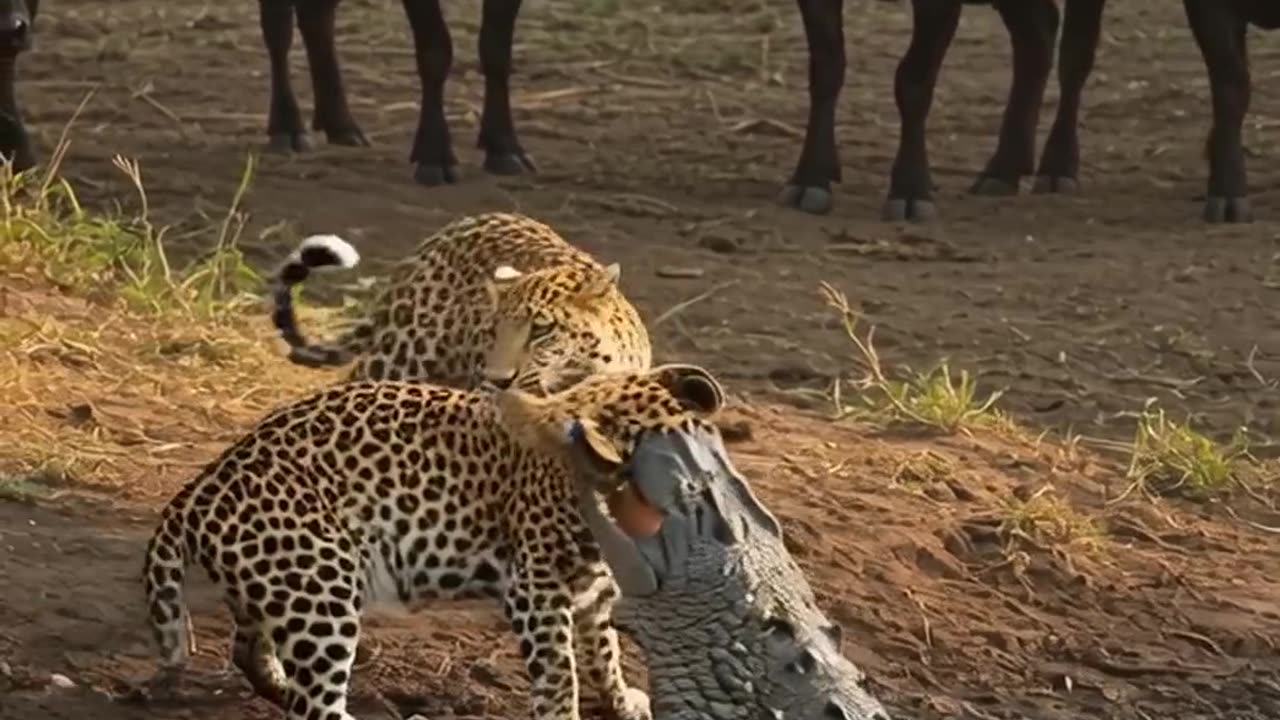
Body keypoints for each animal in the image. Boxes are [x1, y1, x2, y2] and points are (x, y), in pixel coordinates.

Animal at [140, 362, 727, 720]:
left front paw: (623, 699)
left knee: (252, 650)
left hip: (282, 584)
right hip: (324, 590)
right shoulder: (535, 592)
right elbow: (561, 677)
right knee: (316, 706)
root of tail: (195, 491)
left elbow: (604, 649)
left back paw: (280, 684)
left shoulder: (591, 590)